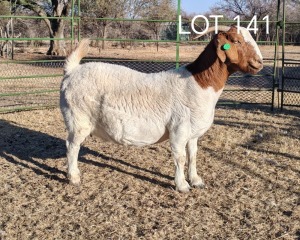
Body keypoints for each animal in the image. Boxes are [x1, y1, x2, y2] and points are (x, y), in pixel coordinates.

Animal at [60, 25, 262, 193]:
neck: (198, 83)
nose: (259, 62)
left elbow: (193, 155)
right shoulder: (178, 130)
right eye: (236, 41)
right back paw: (74, 177)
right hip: (78, 119)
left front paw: (196, 180)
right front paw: (182, 186)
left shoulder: (193, 133)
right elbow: (180, 157)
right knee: (72, 146)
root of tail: (72, 71)